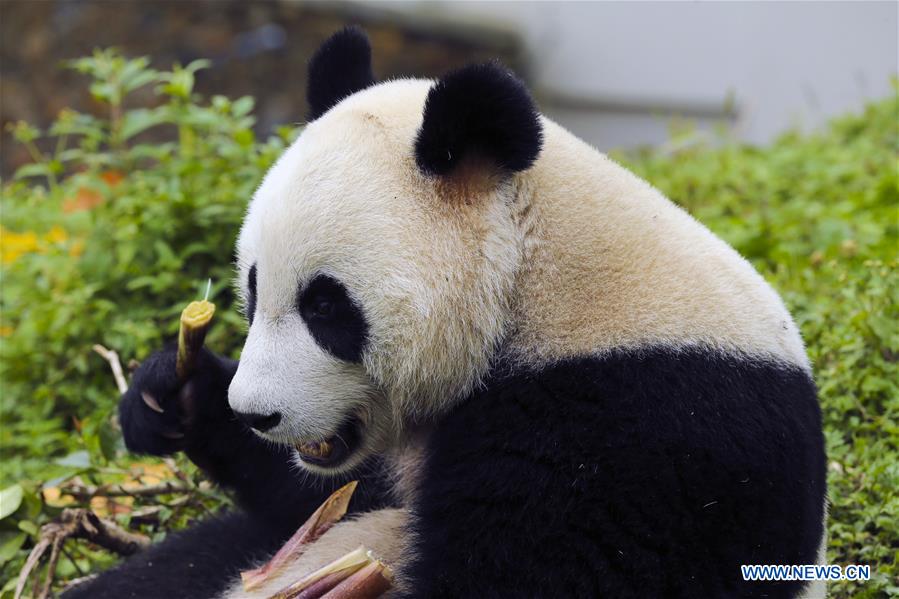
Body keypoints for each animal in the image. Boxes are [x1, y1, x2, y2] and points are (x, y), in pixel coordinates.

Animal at [65, 27, 828, 599]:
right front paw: (171, 394)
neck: (538, 282)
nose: (258, 413)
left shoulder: (641, 423)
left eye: (325, 306)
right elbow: (328, 494)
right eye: (252, 293)